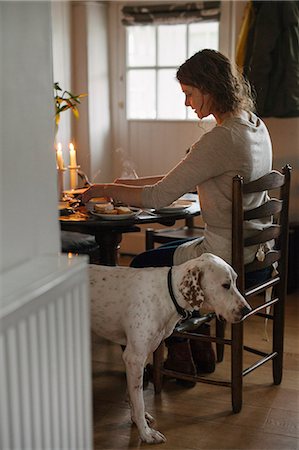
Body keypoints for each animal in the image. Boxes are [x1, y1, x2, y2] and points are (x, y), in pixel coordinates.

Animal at [90, 253, 252, 442]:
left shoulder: (140, 356)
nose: (247, 310)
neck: (167, 294)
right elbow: (139, 400)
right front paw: (145, 433)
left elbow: (133, 395)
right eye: (226, 285)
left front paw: (137, 419)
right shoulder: (134, 358)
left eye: (235, 281)